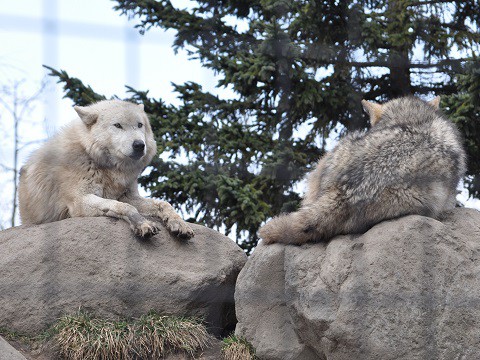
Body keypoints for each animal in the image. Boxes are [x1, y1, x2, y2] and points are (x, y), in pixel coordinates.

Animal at [18, 100, 195, 239]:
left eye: (140, 125)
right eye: (118, 125)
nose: (139, 145)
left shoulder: (127, 195)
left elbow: (163, 204)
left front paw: (179, 224)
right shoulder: (79, 201)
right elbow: (123, 206)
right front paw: (142, 224)